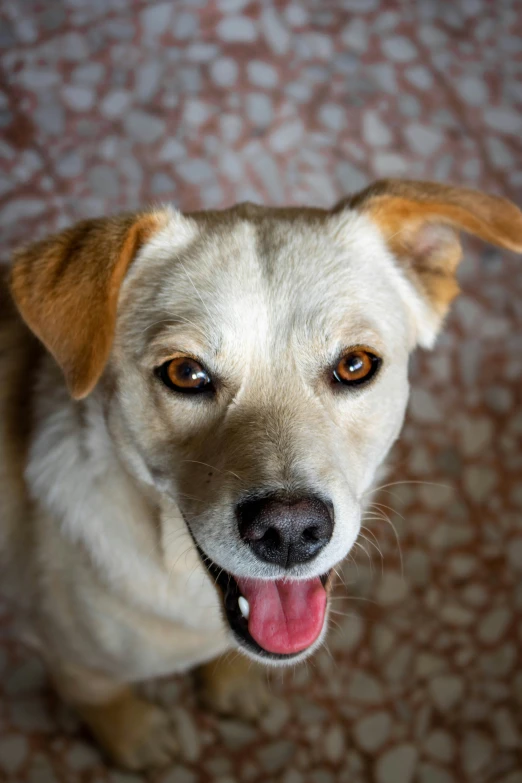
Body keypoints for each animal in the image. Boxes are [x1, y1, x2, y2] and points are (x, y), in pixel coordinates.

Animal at [0, 181, 516, 768]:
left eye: (355, 365)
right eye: (186, 373)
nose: (288, 530)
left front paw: (233, 687)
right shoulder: (71, 656)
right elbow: (103, 696)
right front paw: (137, 737)